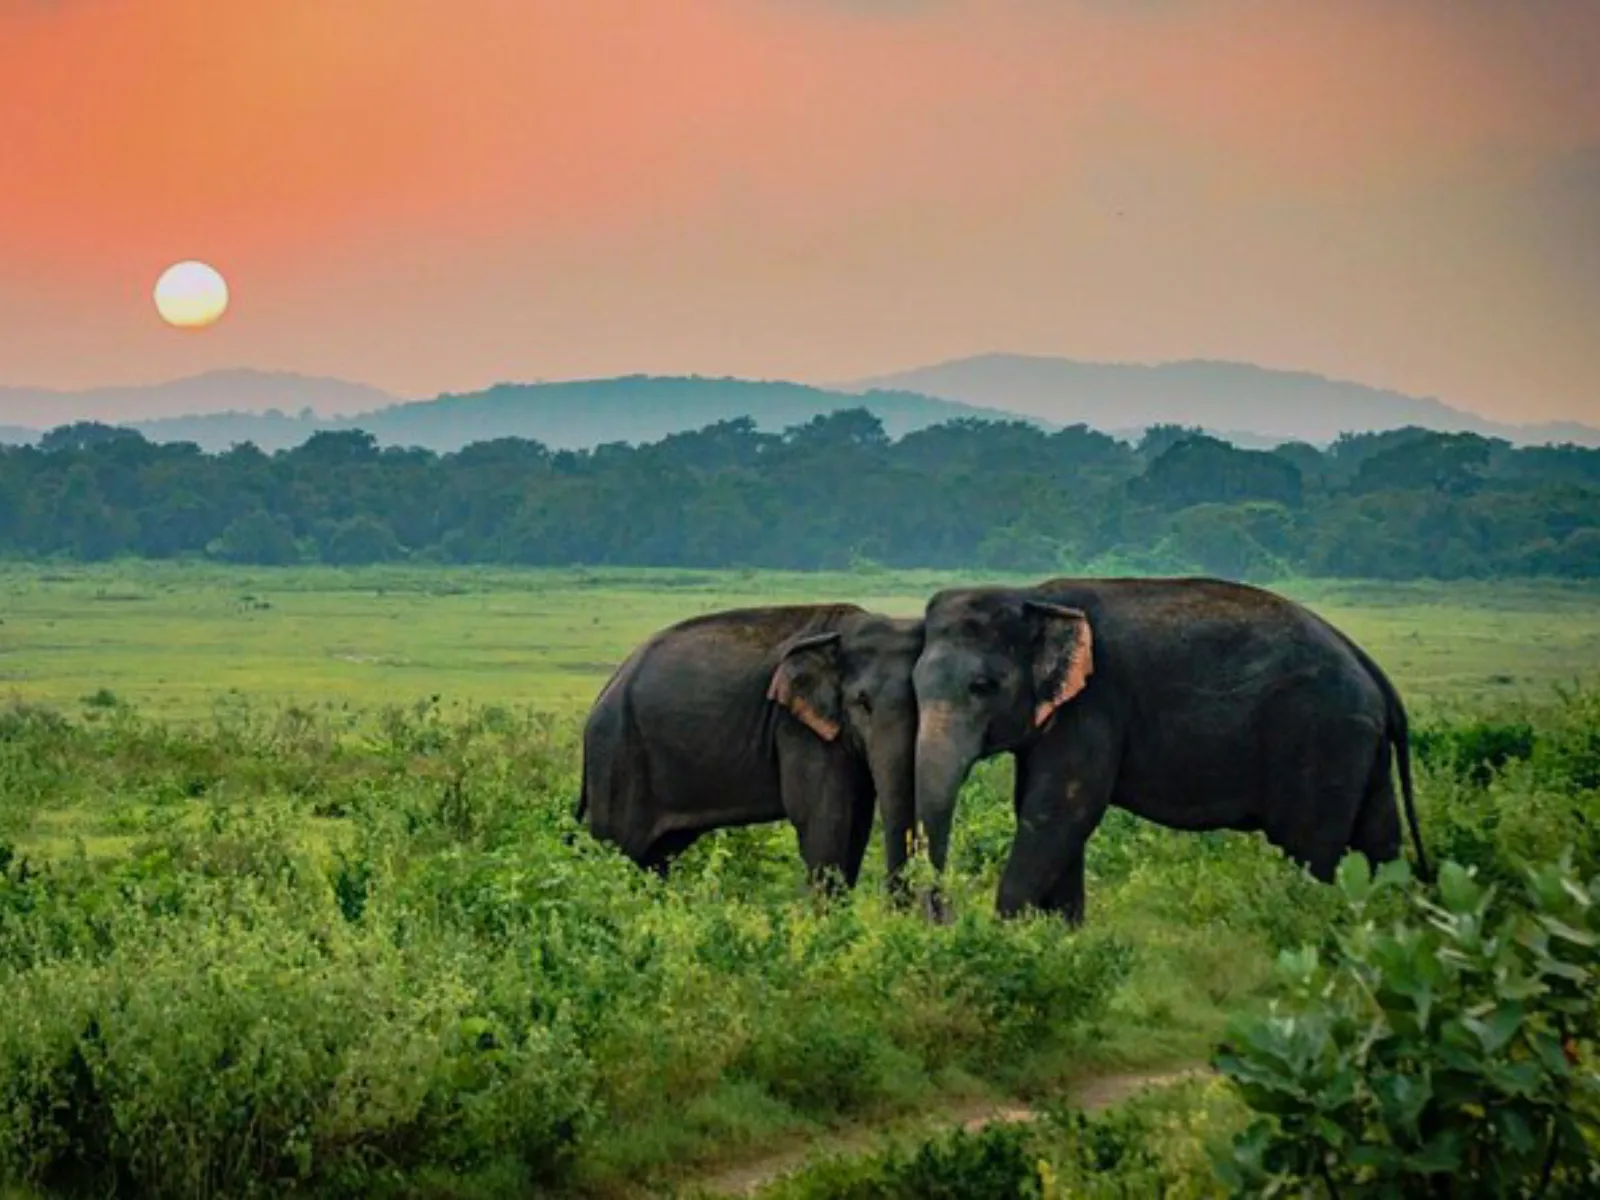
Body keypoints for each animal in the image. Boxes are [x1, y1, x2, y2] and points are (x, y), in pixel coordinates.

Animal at [577, 604, 923, 891]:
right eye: (863, 703)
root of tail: (605, 691)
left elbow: (856, 823)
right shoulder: (796, 728)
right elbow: (823, 822)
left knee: (655, 857)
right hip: (617, 756)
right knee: (617, 848)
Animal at [911, 577, 1431, 923]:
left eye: (983, 686)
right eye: (913, 686)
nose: (944, 914)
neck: (1032, 596)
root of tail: (1372, 670)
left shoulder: (1094, 705)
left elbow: (1060, 812)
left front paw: (1009, 934)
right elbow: (1048, 814)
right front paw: (1060, 938)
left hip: (1323, 738)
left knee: (1310, 847)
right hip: (1359, 746)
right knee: (1379, 838)